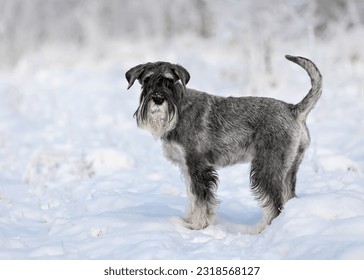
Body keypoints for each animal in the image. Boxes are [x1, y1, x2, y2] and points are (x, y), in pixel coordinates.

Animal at [125, 54, 322, 232]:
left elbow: (201, 199)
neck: (180, 107)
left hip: (266, 167)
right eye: (147, 80)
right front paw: (188, 220)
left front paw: (198, 226)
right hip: (288, 168)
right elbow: (192, 195)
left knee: (274, 203)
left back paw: (261, 229)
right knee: (288, 196)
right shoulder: (187, 167)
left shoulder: (199, 167)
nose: (158, 99)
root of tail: (293, 110)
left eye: (169, 81)